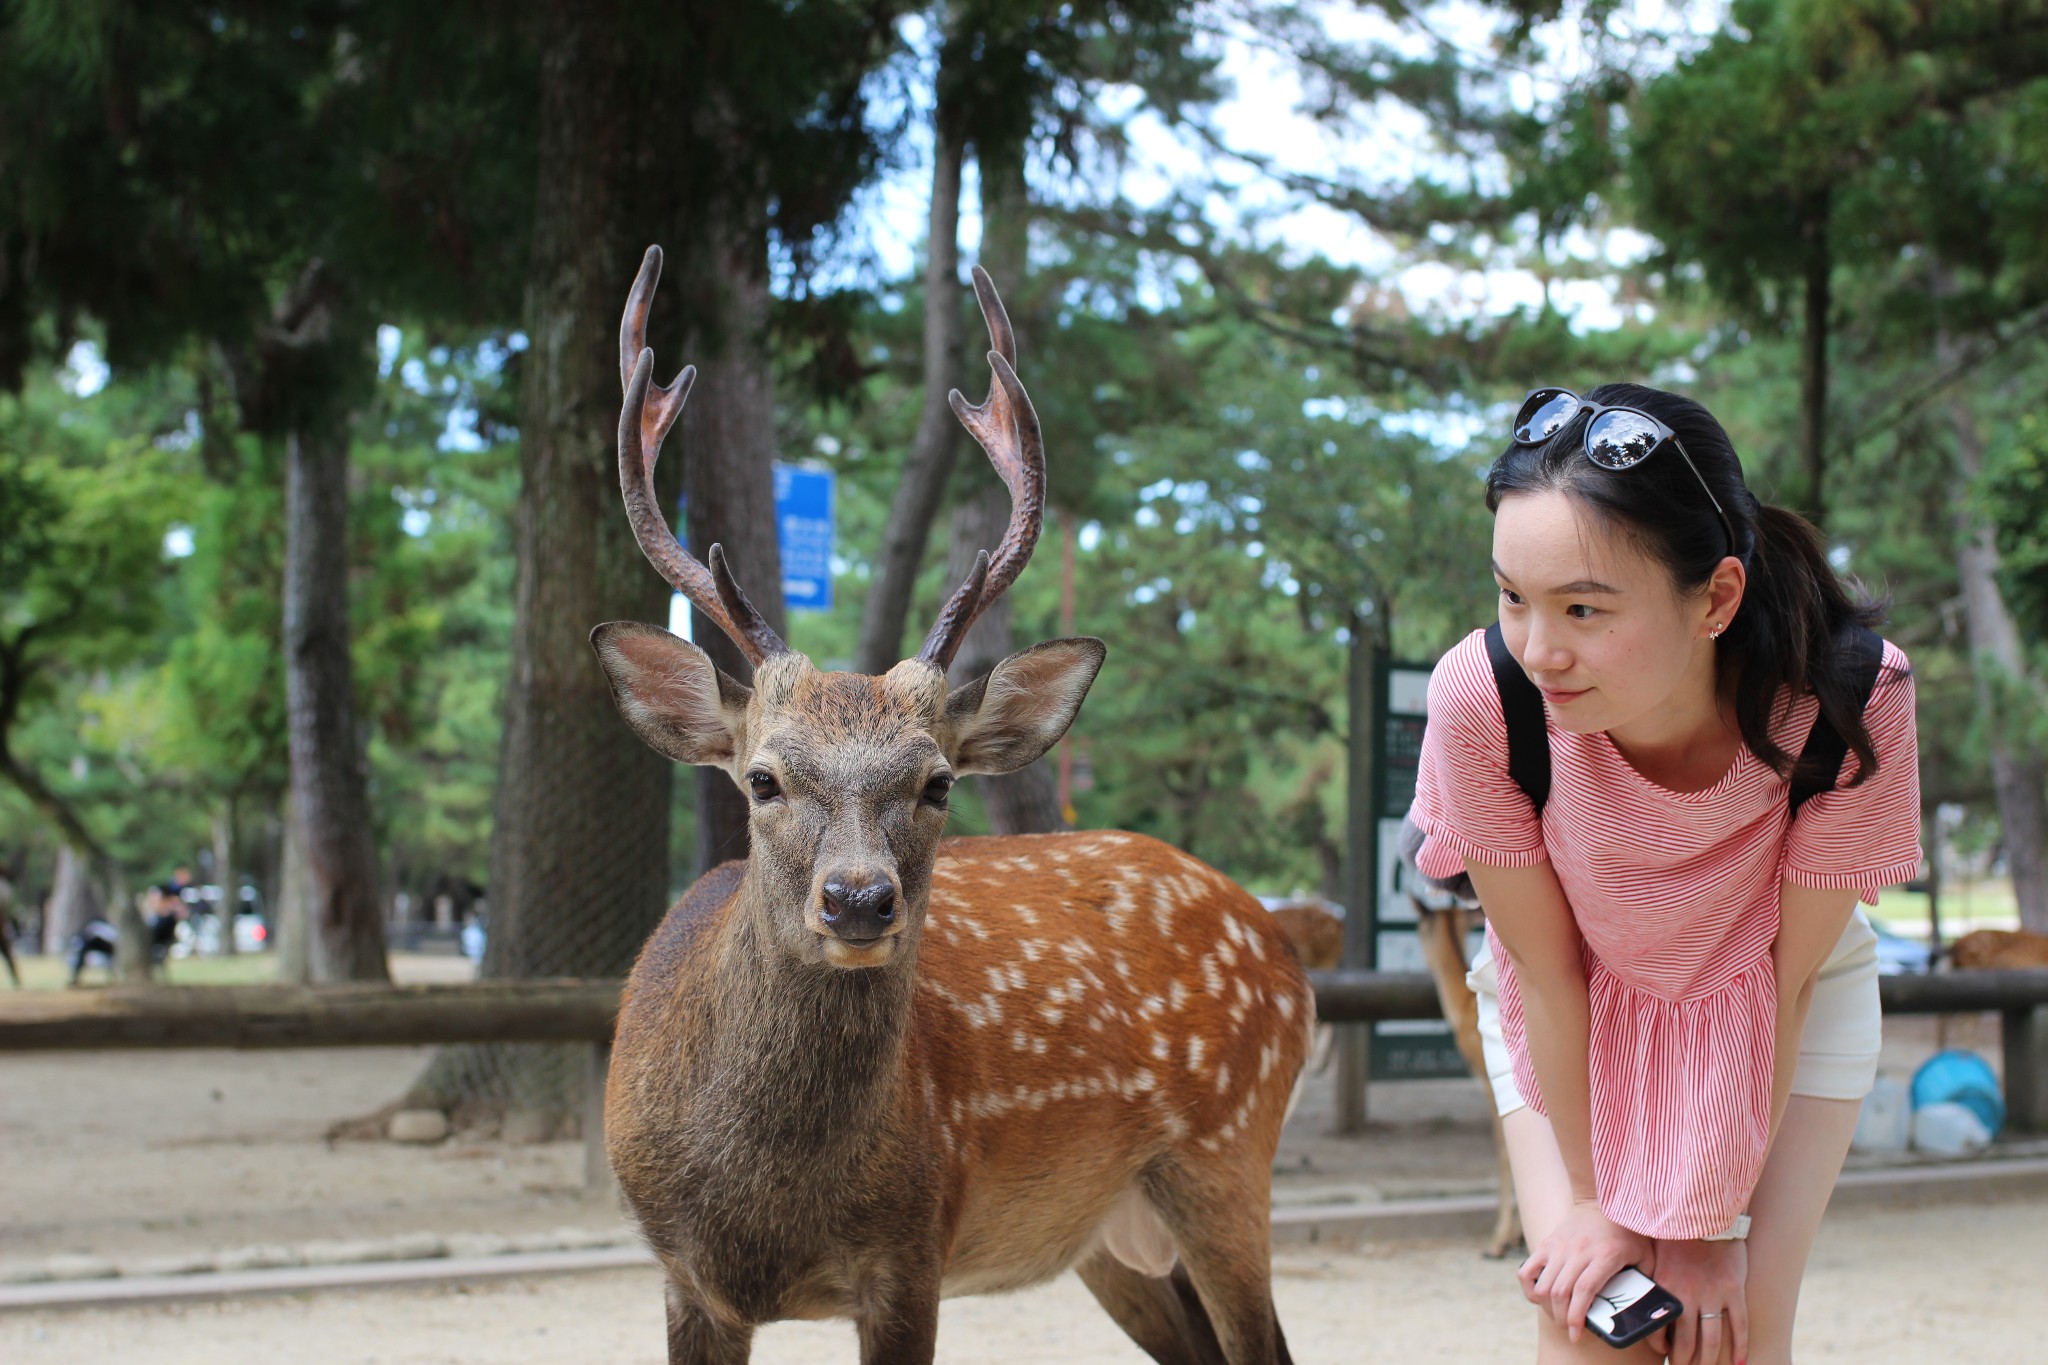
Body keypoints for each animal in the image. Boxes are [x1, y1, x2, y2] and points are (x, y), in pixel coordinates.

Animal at [593, 248, 1310, 1365]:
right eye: (762, 778)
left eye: (937, 782)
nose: (857, 900)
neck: (763, 1204)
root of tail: (1281, 940)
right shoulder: (682, 1272)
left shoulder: (912, 1238)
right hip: (1113, 1233)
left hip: (1228, 1155)